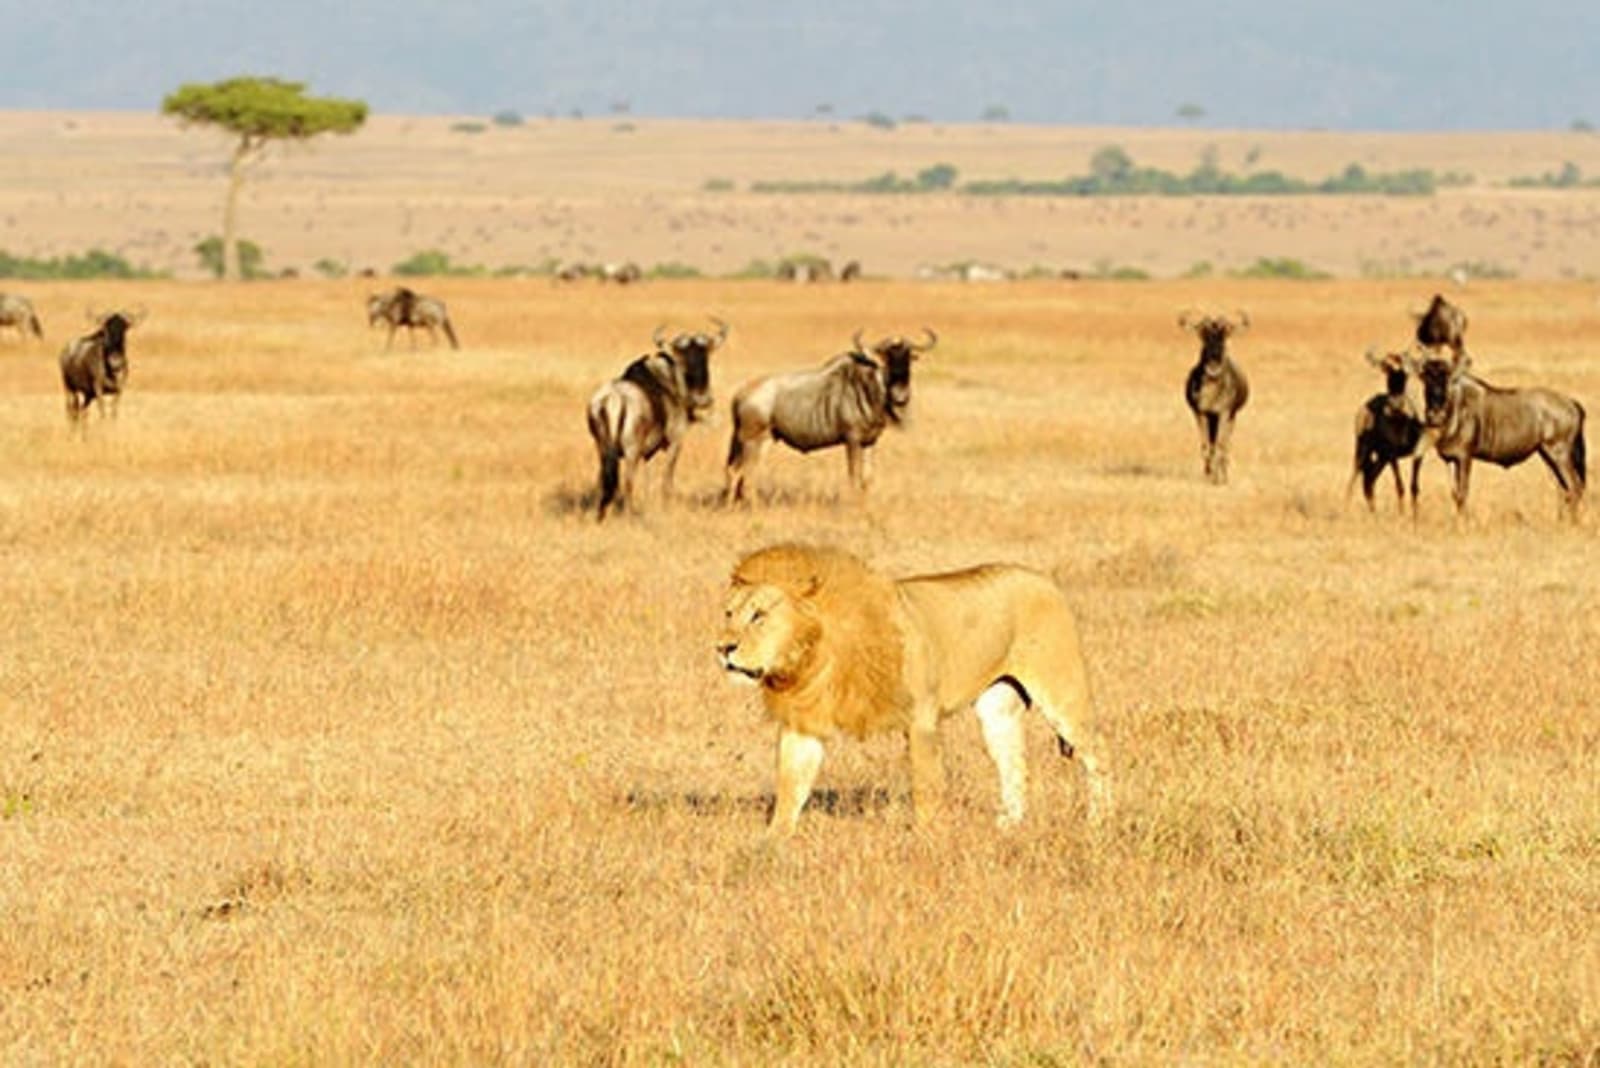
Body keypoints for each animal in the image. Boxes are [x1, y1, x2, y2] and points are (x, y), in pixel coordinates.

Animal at [717, 543, 1109, 835]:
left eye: (759, 615)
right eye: (728, 614)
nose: (722, 648)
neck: (814, 655)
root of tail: (1043, 579)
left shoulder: (921, 719)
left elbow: (926, 787)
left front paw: (928, 840)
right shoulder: (804, 723)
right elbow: (790, 787)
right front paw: (772, 844)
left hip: (1062, 691)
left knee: (1097, 752)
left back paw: (1098, 822)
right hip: (997, 709)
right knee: (1014, 763)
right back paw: (1007, 826)